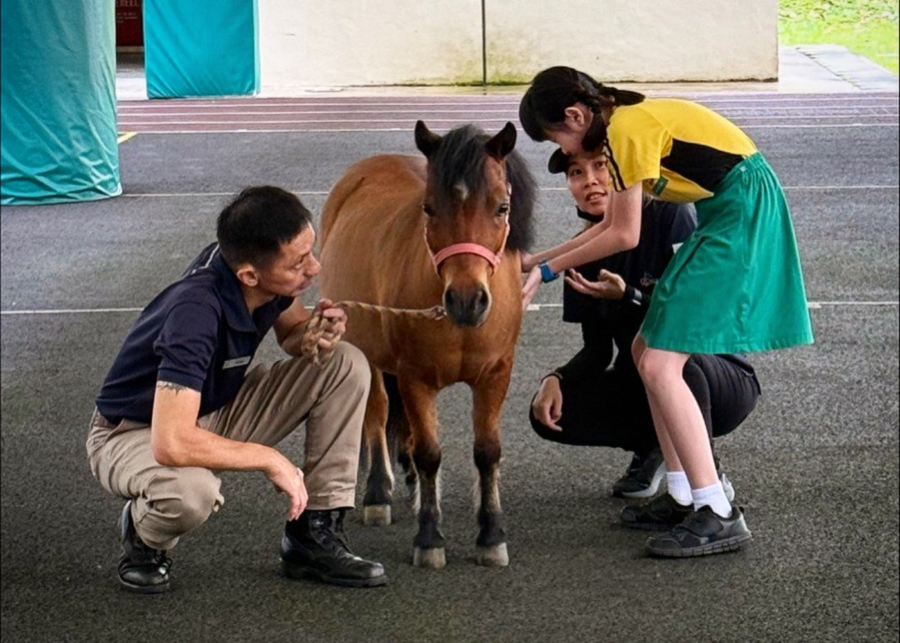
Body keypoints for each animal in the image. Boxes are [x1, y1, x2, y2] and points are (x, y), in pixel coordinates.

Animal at [318, 121, 535, 568]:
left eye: (502, 207)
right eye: (429, 208)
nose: (467, 300)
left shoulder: (496, 375)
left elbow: (487, 451)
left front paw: (491, 535)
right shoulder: (413, 376)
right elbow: (429, 452)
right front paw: (430, 538)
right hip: (367, 350)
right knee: (378, 413)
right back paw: (378, 493)